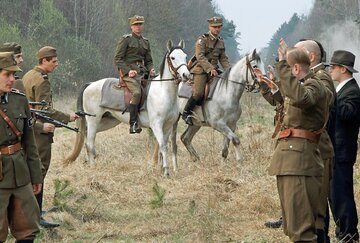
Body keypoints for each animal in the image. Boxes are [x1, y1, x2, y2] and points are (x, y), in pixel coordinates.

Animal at [67, 40, 191, 177]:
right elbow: (163, 146)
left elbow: (163, 146)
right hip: (93, 120)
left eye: (185, 56)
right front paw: (166, 172)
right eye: (173, 57)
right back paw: (93, 167)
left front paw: (161, 169)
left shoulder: (168, 126)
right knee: (89, 142)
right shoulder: (157, 125)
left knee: (86, 136)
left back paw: (89, 161)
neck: (163, 91)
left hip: (107, 121)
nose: (186, 75)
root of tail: (90, 84)